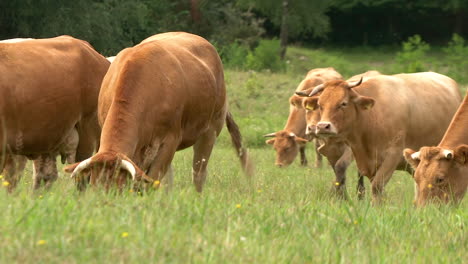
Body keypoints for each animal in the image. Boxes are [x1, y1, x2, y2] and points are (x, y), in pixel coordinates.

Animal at [65, 32, 252, 192]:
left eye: (119, 187)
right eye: (94, 186)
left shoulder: (170, 140)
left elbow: (152, 181)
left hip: (211, 130)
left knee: (198, 174)